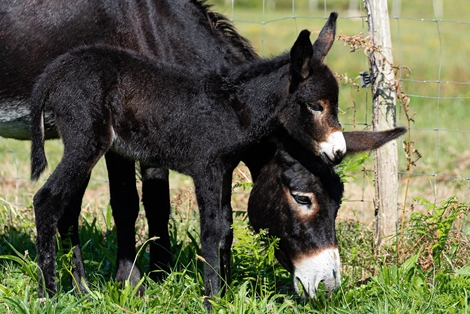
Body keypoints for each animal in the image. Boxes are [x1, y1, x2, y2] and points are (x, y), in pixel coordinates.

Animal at [29, 13, 346, 298]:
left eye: (338, 200)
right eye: (316, 106)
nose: (339, 150)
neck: (233, 107)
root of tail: (55, 71)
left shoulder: (224, 170)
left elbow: (225, 230)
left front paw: (225, 293)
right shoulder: (206, 168)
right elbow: (210, 231)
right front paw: (211, 298)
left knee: (66, 208)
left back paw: (79, 290)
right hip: (86, 142)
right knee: (46, 200)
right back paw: (49, 294)